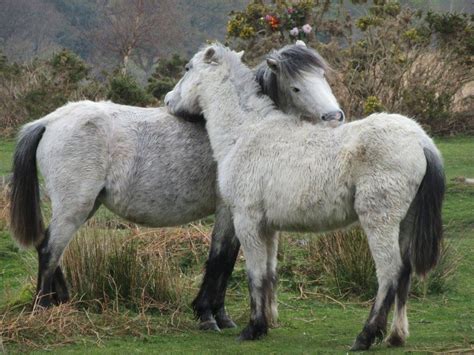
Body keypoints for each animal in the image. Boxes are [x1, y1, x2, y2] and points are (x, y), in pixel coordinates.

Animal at [9, 43, 342, 332]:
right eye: (297, 86)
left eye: (323, 77)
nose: (335, 117)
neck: (240, 129)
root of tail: (50, 120)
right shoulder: (229, 211)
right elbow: (220, 259)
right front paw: (207, 316)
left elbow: (227, 260)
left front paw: (220, 316)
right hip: (74, 207)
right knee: (49, 249)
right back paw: (43, 309)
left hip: (84, 206)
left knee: (51, 247)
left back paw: (61, 301)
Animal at [166, 43, 444, 350]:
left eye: (188, 68)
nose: (168, 101)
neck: (247, 131)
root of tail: (420, 140)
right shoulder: (267, 227)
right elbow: (268, 273)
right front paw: (264, 324)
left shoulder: (247, 221)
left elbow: (254, 274)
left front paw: (252, 328)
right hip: (405, 222)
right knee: (404, 273)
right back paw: (396, 336)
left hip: (380, 222)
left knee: (390, 272)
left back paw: (366, 335)